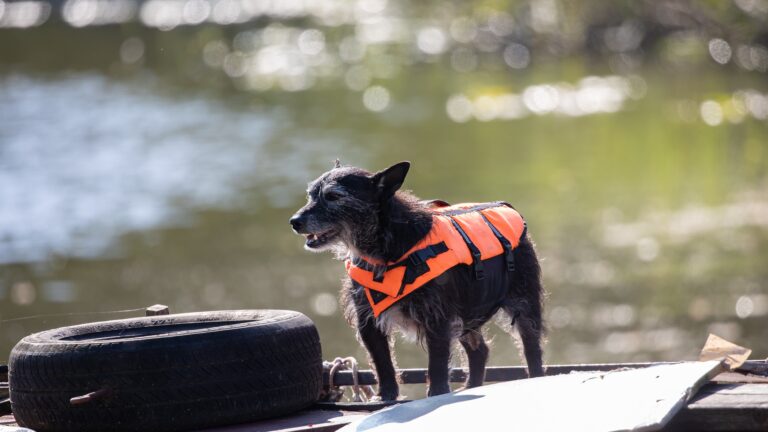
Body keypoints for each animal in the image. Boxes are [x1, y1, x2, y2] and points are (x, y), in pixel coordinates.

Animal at [290, 160, 544, 400]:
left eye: (334, 196)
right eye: (311, 194)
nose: (294, 221)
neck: (386, 249)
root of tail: (506, 208)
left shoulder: (438, 318)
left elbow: (437, 363)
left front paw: (437, 393)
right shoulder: (368, 320)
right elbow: (382, 363)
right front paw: (387, 395)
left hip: (523, 304)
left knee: (531, 348)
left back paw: (535, 376)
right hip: (467, 314)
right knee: (479, 350)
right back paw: (472, 385)